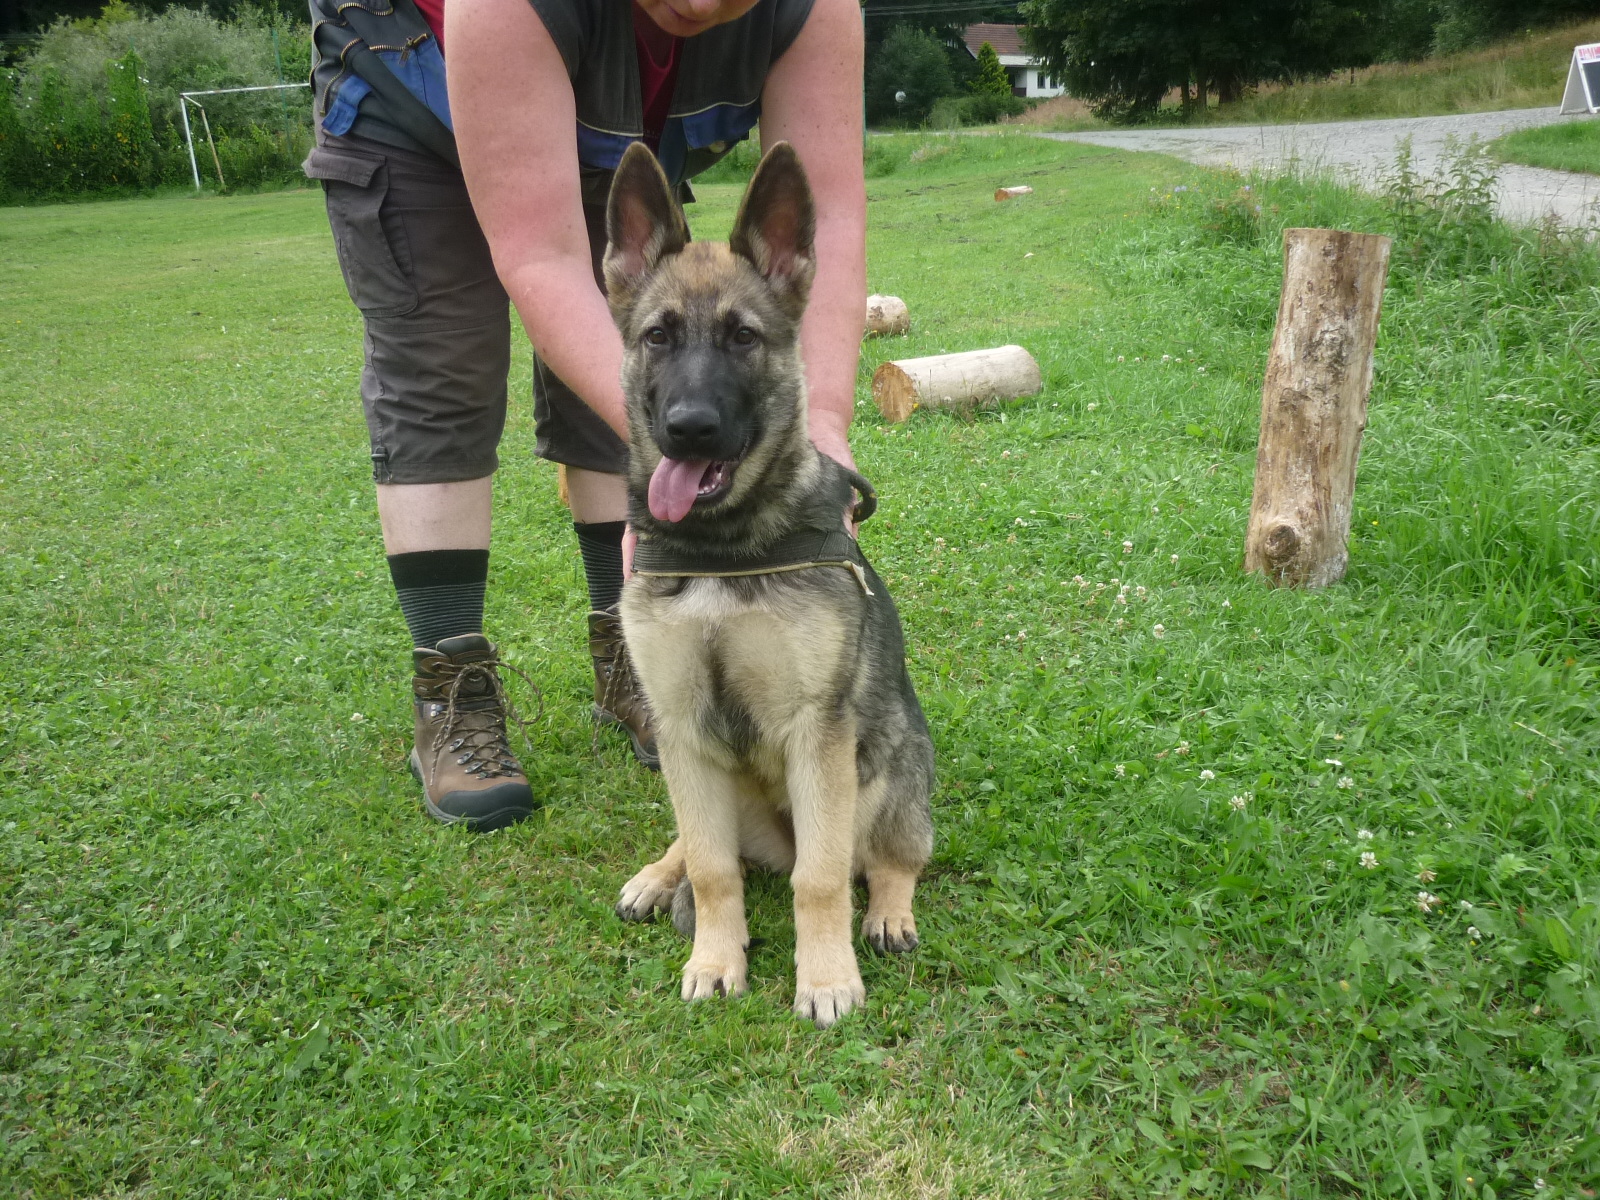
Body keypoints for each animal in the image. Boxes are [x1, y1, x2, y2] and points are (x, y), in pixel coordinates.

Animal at [604, 141, 935, 1028]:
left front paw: (824, 978)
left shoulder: (815, 733)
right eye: (658, 336)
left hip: (888, 765)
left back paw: (889, 913)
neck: (722, 550)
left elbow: (818, 880)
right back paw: (659, 876)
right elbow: (714, 870)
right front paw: (716, 957)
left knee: (891, 857)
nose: (688, 429)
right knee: (701, 845)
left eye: (743, 338)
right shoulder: (682, 728)